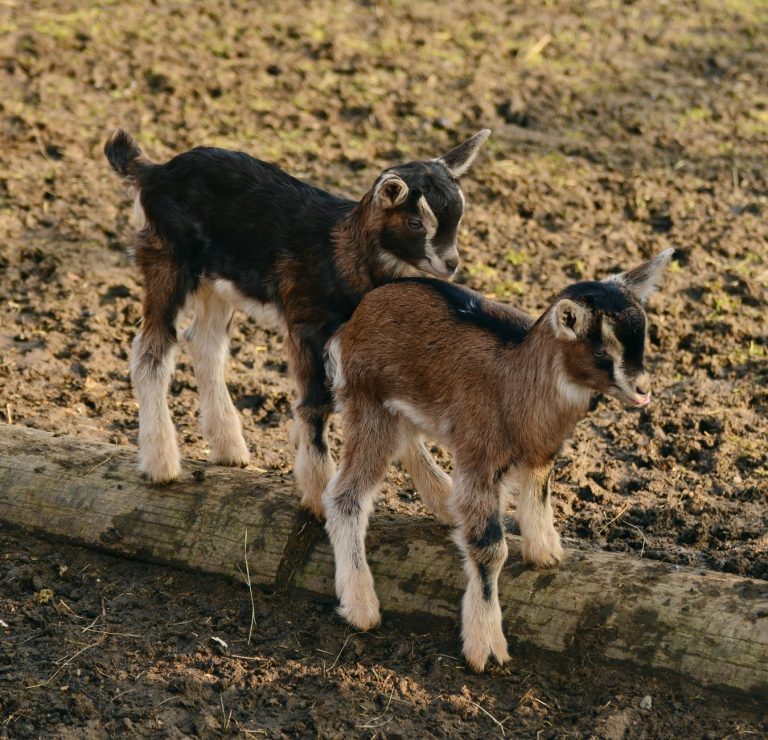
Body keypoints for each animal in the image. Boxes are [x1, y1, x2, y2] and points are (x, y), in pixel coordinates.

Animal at [104, 128, 490, 514]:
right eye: (415, 222)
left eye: (457, 217)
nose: (451, 264)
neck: (342, 255)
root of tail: (153, 172)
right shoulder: (307, 326)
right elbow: (316, 403)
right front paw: (318, 494)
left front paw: (441, 499)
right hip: (167, 259)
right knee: (151, 349)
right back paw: (161, 464)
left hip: (217, 281)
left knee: (204, 342)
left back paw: (229, 448)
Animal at [322, 249, 674, 671]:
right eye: (602, 350)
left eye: (643, 339)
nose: (643, 390)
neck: (517, 380)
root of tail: (354, 319)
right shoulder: (480, 460)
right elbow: (490, 547)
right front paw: (486, 646)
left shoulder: (540, 452)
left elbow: (538, 496)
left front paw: (545, 554)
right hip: (368, 403)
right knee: (345, 497)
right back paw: (361, 605)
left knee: (406, 441)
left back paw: (444, 503)